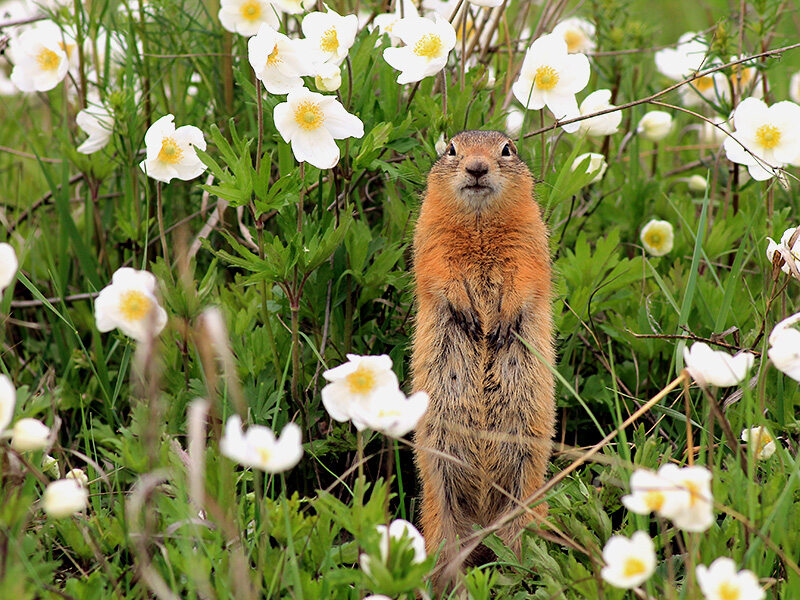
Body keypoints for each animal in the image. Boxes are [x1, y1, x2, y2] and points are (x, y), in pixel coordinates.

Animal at [412, 130, 556, 584]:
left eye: (507, 149)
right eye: (452, 149)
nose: (477, 167)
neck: (478, 225)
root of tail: (481, 522)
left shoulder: (531, 238)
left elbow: (527, 276)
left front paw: (502, 323)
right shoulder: (430, 238)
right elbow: (436, 271)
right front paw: (467, 315)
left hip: (524, 497)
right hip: (440, 509)